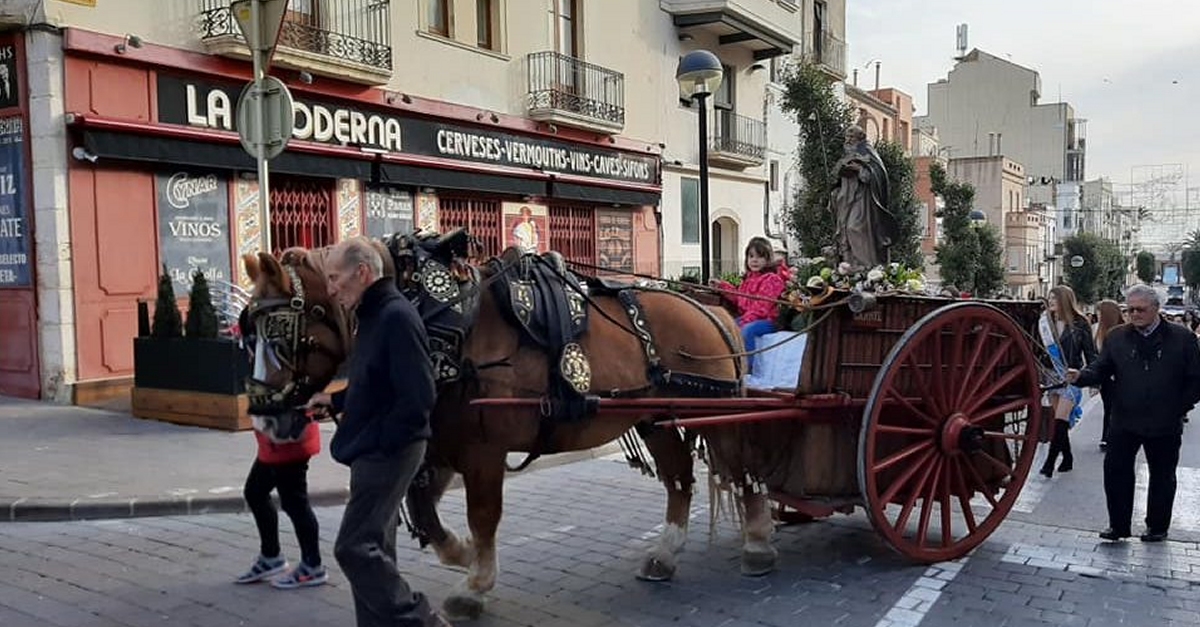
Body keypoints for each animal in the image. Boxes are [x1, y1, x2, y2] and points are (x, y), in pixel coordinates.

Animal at [242, 241, 782, 614]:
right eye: (248, 333)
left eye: (282, 334)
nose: (266, 416)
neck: (441, 325)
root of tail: (707, 305)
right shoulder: (440, 446)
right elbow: (424, 509)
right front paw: (461, 555)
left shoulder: (483, 451)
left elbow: (483, 515)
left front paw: (474, 586)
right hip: (658, 419)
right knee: (679, 480)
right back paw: (666, 554)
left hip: (715, 412)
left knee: (742, 472)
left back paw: (758, 543)